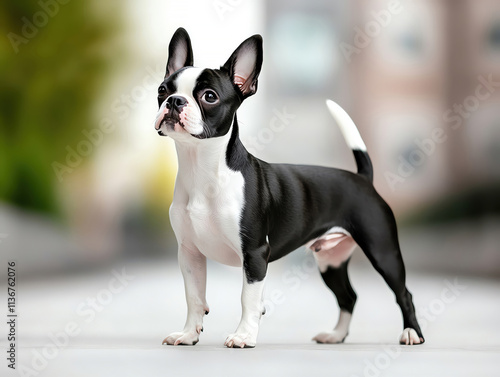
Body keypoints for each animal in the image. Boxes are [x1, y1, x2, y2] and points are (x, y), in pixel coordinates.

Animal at [156, 27, 426, 348]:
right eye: (162, 90)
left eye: (209, 96)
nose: (174, 101)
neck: (203, 169)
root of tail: (362, 178)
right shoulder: (190, 254)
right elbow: (194, 297)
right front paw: (188, 334)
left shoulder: (255, 254)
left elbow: (248, 299)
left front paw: (244, 336)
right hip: (331, 261)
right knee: (348, 296)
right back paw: (336, 335)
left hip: (382, 251)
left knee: (403, 293)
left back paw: (411, 333)